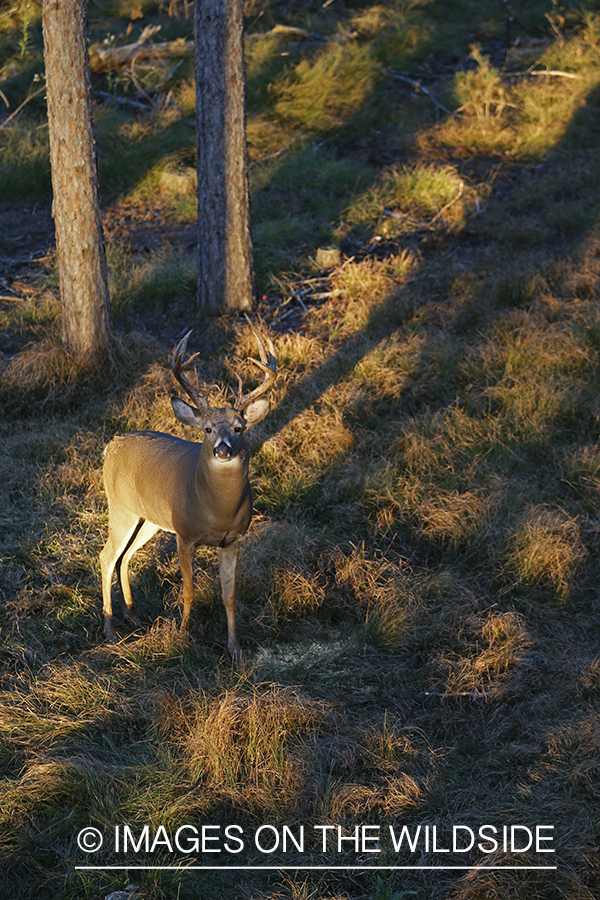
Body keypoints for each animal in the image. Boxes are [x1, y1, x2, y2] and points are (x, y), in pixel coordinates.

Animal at [99, 326, 276, 656]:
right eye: (207, 429)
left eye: (239, 428)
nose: (222, 449)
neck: (217, 511)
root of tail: (111, 444)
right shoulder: (184, 535)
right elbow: (189, 590)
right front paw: (182, 636)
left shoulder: (233, 540)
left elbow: (229, 595)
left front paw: (235, 648)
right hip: (120, 508)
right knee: (106, 556)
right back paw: (109, 630)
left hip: (148, 519)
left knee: (125, 556)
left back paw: (133, 616)